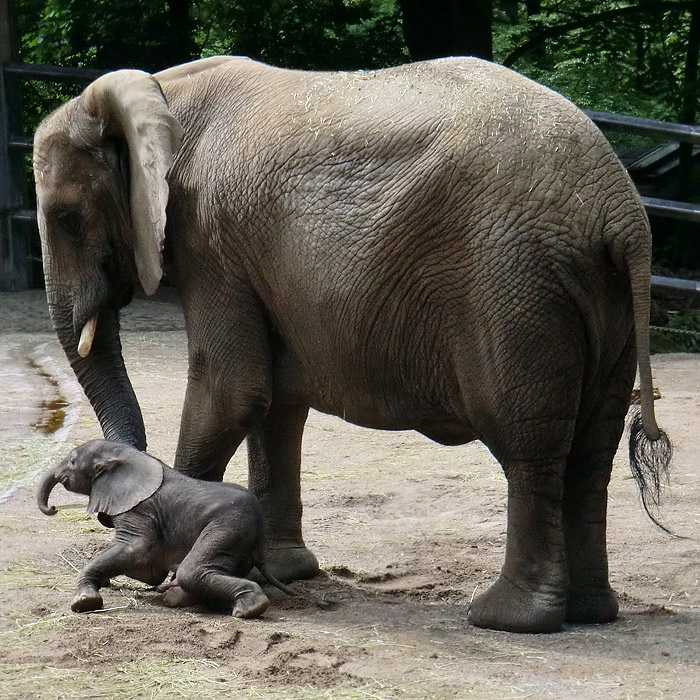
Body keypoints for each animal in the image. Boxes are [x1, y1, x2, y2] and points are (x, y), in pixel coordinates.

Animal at [37, 440, 300, 616]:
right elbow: (149, 569)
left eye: (72, 461)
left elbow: (135, 549)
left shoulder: (138, 510)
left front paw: (84, 602)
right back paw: (175, 593)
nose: (53, 508)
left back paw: (248, 609)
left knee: (190, 572)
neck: (126, 455)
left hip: (228, 526)